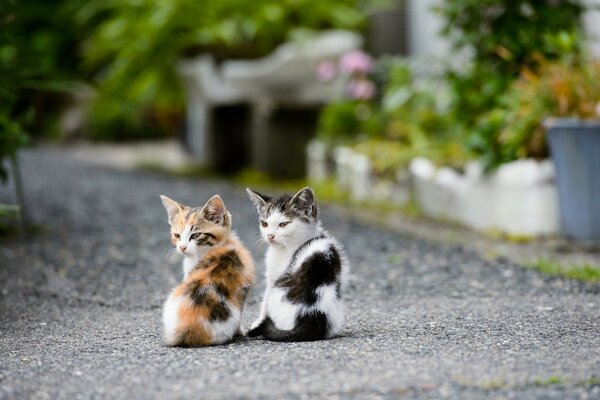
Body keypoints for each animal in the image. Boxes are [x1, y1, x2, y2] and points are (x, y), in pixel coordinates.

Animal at [246, 187, 350, 340]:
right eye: (264, 223)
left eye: (283, 224)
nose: (270, 236)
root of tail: (313, 314)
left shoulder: (273, 279)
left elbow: (264, 302)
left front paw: (257, 322)